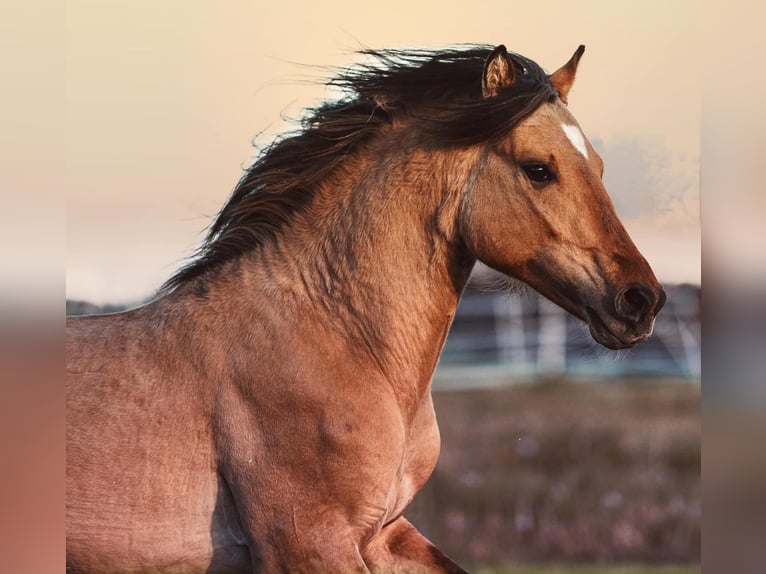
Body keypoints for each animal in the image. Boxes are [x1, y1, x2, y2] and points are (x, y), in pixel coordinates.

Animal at [66, 44, 665, 573]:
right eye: (539, 169)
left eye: (599, 166)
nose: (641, 300)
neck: (338, 338)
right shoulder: (308, 544)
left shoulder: (384, 532)